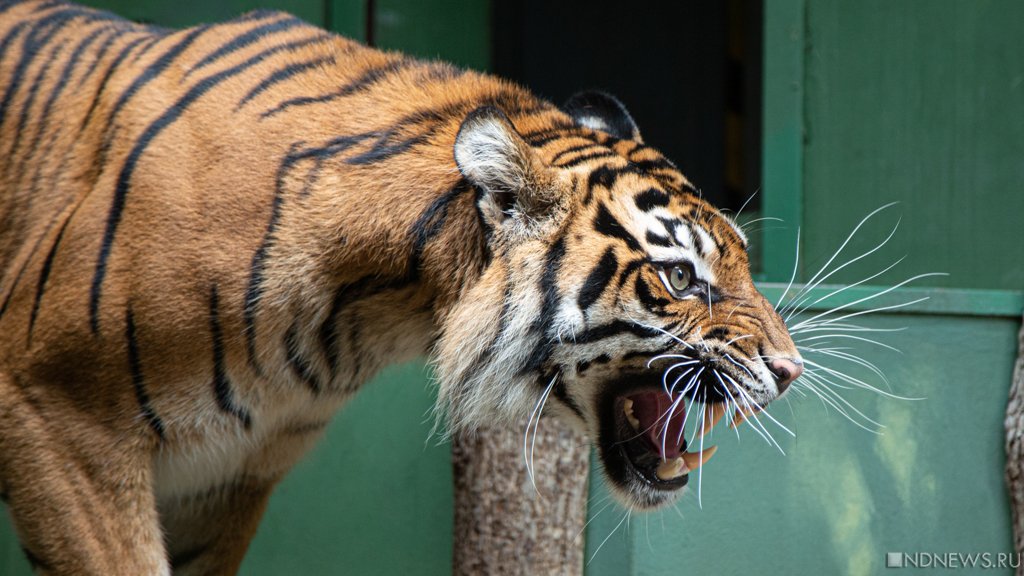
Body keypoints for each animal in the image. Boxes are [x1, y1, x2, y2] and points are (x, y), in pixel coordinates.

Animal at [0, 0, 802, 569]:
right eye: (680, 276)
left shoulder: (225, 479)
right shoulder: (60, 415)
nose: (790, 370)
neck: (378, 312)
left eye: (741, 258)